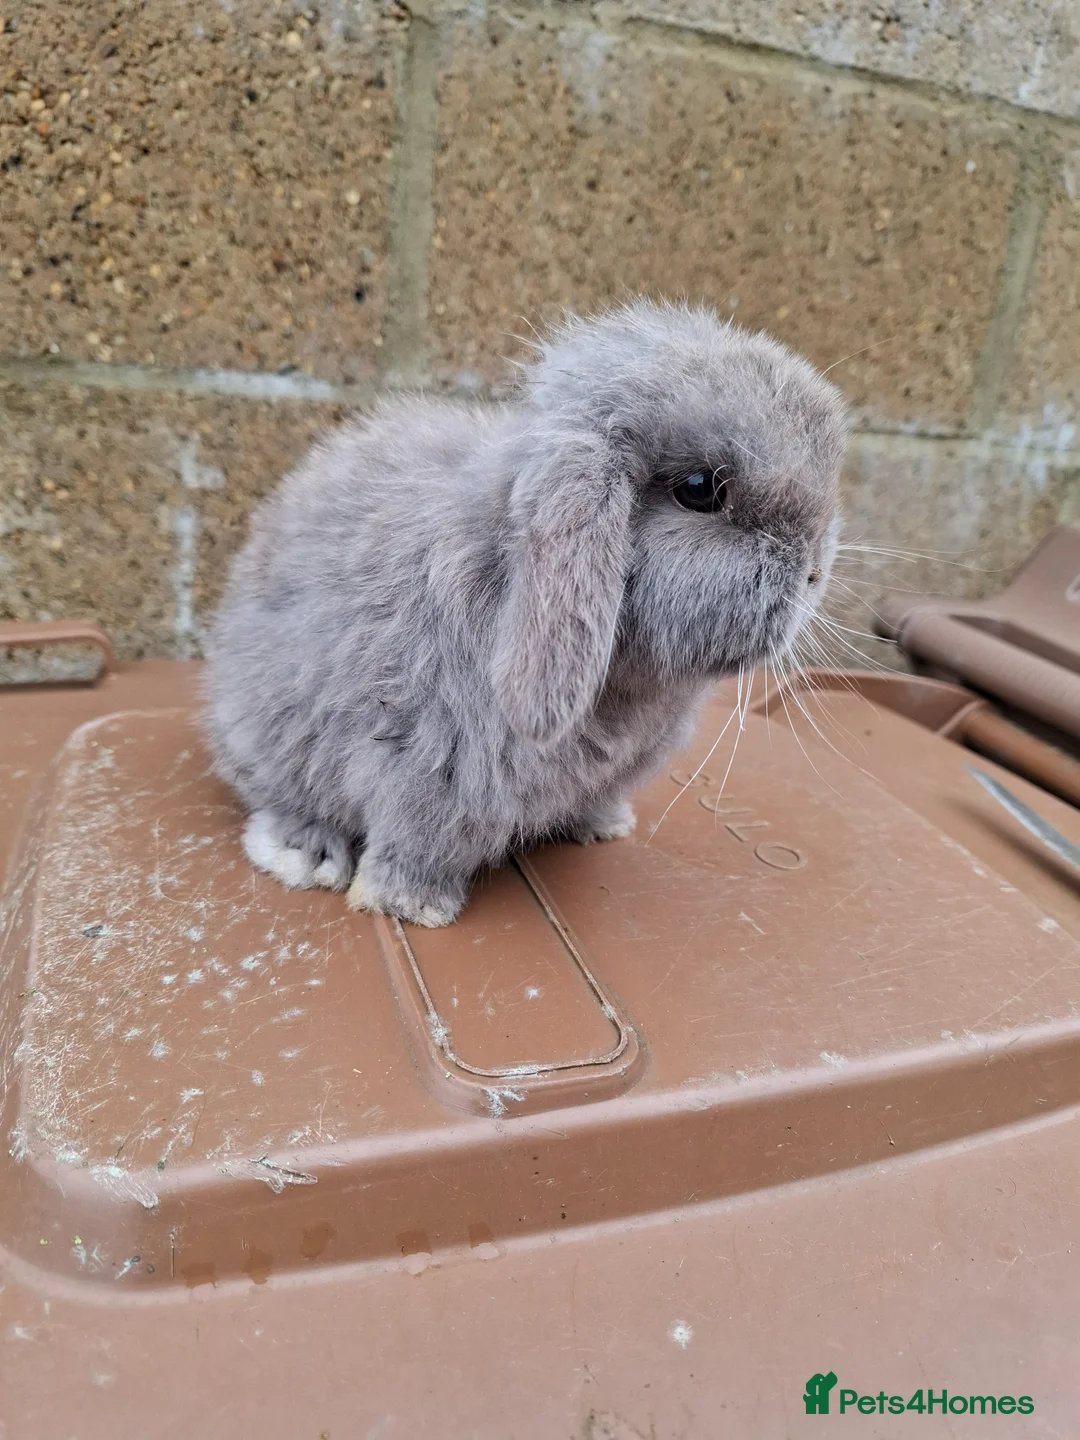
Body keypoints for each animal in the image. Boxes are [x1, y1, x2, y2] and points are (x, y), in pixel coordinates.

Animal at [203, 299, 847, 927]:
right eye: (698, 488)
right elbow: (418, 841)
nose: (815, 570)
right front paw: (410, 905)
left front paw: (605, 826)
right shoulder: (433, 768)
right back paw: (307, 854)